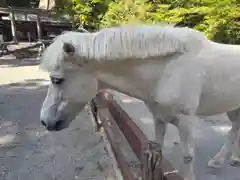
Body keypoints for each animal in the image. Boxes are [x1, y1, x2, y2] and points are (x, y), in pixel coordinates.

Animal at [39, 24, 240, 180]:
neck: (168, 70)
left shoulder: (185, 121)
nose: (45, 121)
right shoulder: (159, 118)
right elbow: (158, 147)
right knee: (235, 129)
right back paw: (226, 159)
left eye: (57, 80)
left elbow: (188, 157)